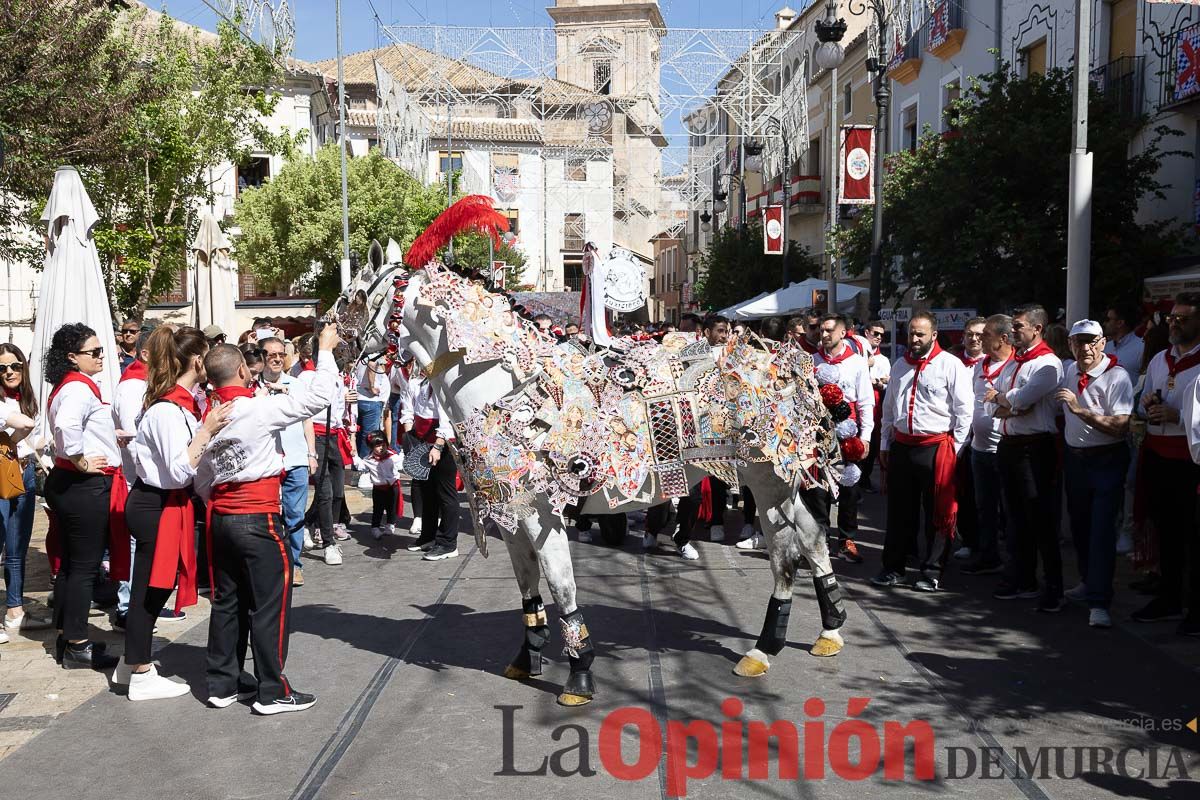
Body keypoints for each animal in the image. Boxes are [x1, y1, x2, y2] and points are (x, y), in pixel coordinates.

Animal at [328, 199, 854, 705]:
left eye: (351, 298)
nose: (331, 351)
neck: (506, 388)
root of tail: (786, 360)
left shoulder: (543, 513)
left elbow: (561, 584)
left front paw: (579, 674)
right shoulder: (511, 515)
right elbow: (528, 586)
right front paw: (528, 656)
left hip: (767, 478)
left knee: (789, 549)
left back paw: (767, 646)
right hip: (774, 478)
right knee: (808, 539)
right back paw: (823, 629)